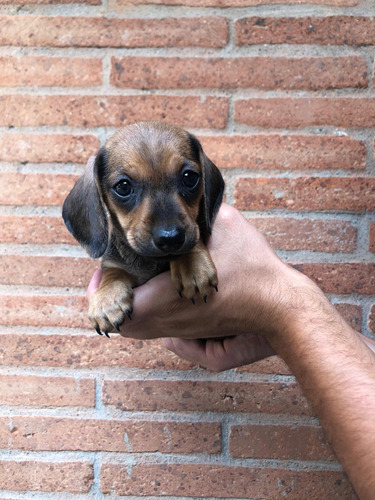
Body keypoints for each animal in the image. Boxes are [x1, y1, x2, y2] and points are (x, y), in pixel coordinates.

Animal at [63, 122, 225, 336]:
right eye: (123, 186)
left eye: (190, 177)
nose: (170, 237)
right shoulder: (114, 264)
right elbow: (113, 274)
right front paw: (107, 299)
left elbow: (193, 241)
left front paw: (192, 265)